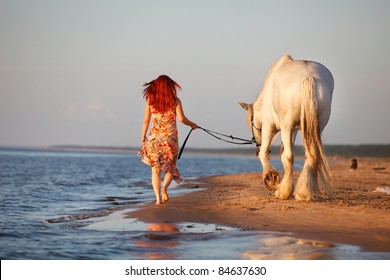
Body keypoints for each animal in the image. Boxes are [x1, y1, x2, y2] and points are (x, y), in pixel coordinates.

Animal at [239, 53, 334, 200]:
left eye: (251, 123)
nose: (256, 147)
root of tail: (308, 76)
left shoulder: (269, 126)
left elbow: (265, 153)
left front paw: (271, 178)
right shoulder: (294, 131)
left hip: (286, 126)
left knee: (289, 156)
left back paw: (284, 193)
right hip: (316, 125)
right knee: (310, 155)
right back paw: (302, 193)